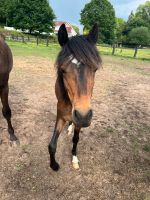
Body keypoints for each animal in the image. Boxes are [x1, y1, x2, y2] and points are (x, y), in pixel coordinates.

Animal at [48, 23, 101, 170]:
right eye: (62, 70)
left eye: (95, 69)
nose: (83, 116)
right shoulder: (60, 117)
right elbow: (52, 144)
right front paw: (54, 165)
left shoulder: (79, 122)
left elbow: (76, 139)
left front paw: (74, 159)